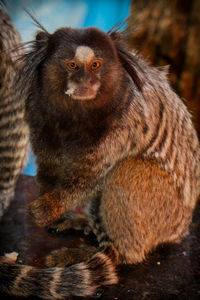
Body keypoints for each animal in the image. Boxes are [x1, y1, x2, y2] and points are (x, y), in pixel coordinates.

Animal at [0, 19, 200, 298]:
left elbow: (91, 176)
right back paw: (86, 224)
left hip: (165, 213)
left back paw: (102, 254)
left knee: (127, 171)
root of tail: (181, 228)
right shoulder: (39, 113)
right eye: (72, 65)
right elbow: (50, 166)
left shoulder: (125, 119)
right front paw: (52, 208)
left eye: (96, 65)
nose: (85, 81)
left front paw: (47, 209)